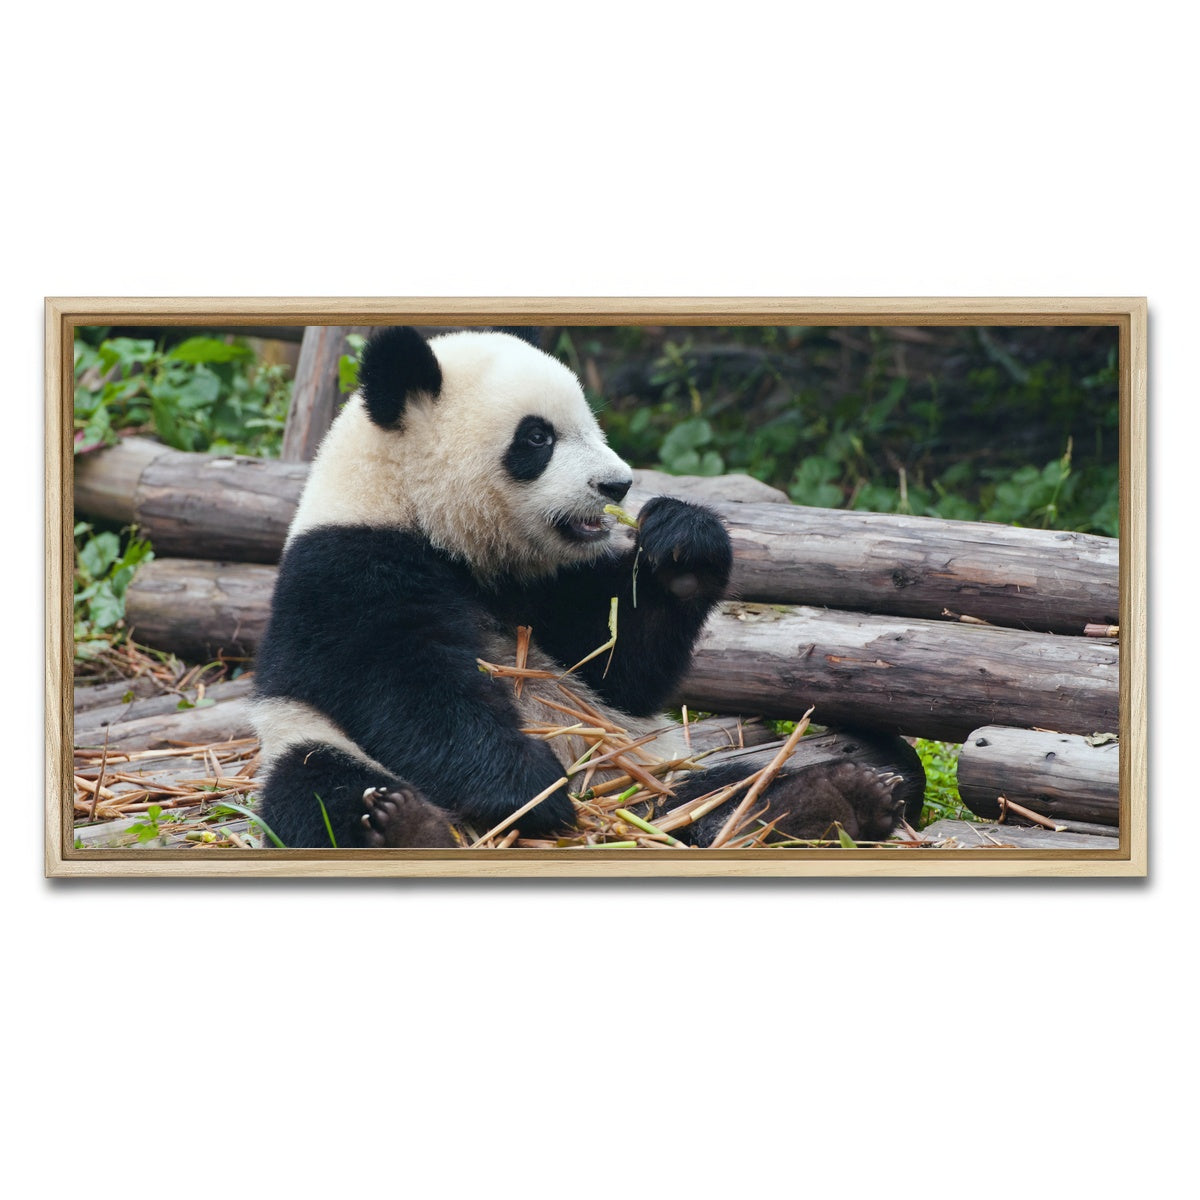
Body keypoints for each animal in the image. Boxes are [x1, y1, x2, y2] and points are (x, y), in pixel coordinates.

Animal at [251, 326, 918, 849]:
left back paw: (827, 801)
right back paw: (405, 826)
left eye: (590, 424)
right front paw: (530, 788)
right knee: (319, 787)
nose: (617, 485)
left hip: (643, 769)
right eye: (537, 437)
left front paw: (683, 546)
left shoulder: (546, 585)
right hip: (303, 738)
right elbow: (407, 685)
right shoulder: (346, 568)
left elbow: (618, 665)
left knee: (716, 790)